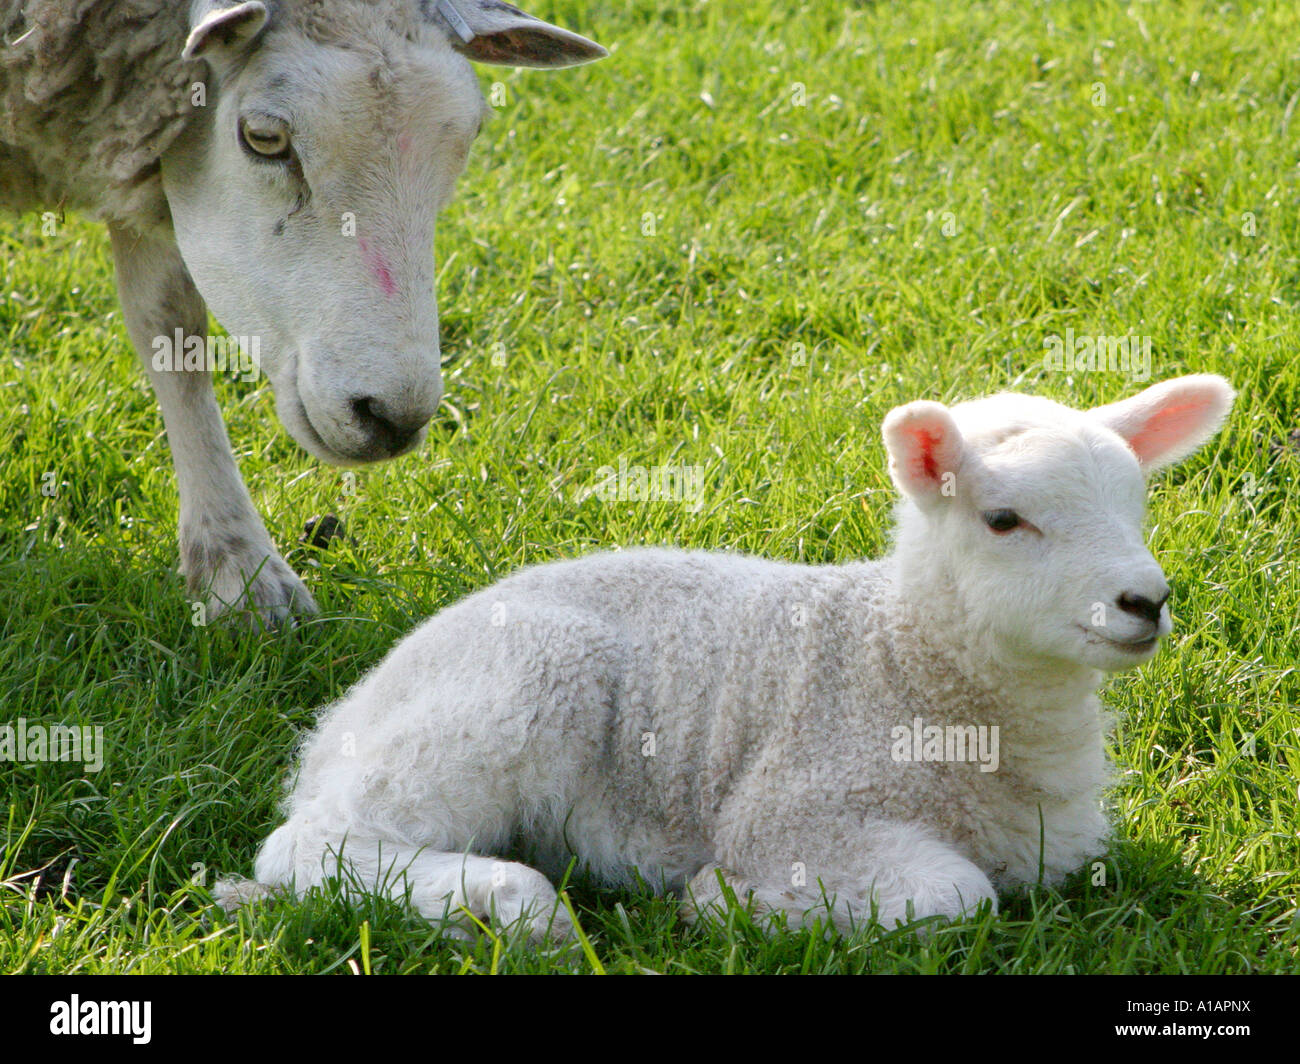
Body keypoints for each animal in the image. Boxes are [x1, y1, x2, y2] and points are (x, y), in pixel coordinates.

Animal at [218, 374, 1234, 941]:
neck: (903, 660)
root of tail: (340, 723)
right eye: (1004, 520)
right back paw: (512, 908)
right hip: (514, 687)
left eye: (1138, 503)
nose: (1145, 601)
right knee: (308, 848)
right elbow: (958, 896)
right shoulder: (797, 810)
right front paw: (729, 904)